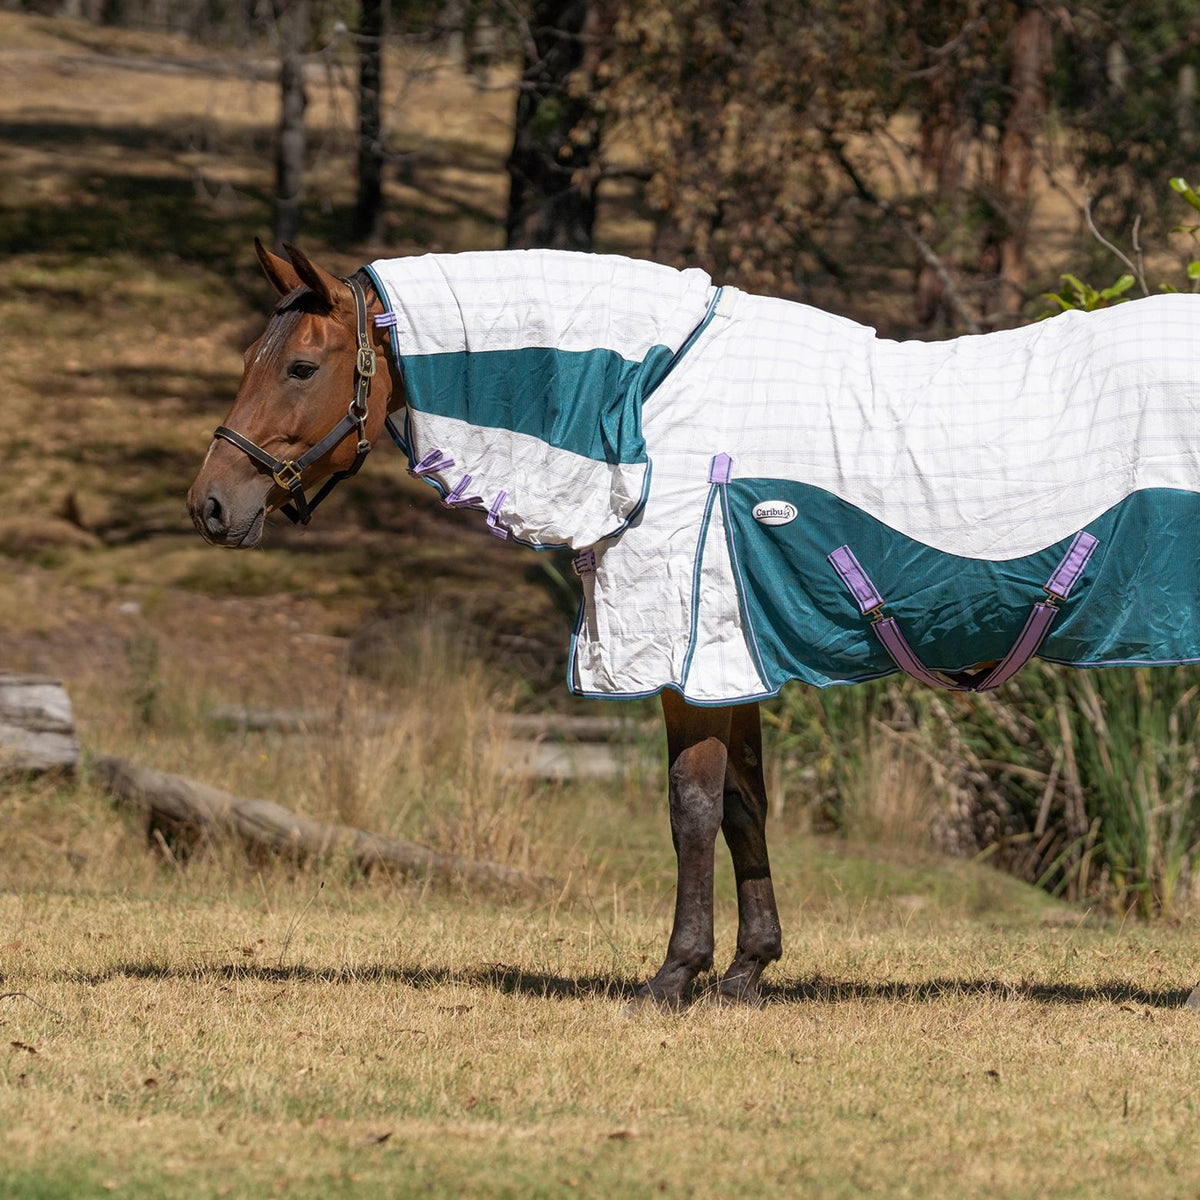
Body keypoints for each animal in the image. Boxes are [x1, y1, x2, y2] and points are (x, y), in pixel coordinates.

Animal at [189, 240, 1200, 1006]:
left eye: (302, 366)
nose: (209, 505)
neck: (646, 404)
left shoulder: (683, 650)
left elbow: (693, 807)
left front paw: (675, 975)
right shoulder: (725, 657)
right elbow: (746, 805)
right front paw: (748, 970)